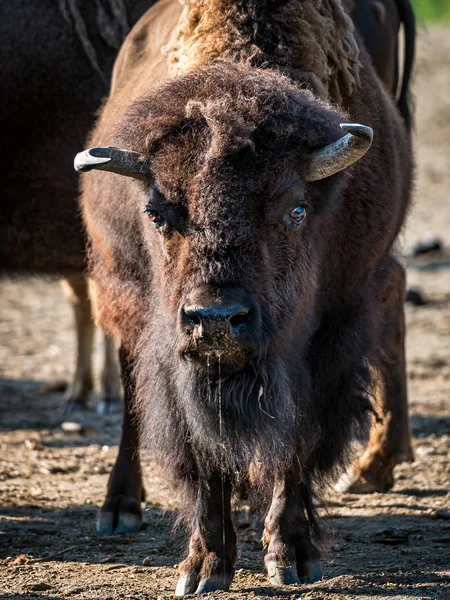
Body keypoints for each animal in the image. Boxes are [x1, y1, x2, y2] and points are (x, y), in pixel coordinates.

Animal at [75, 0, 414, 592]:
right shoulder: (180, 361)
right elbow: (202, 450)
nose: (215, 319)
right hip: (124, 299)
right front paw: (205, 567)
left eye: (295, 208)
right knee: (130, 393)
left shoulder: (324, 338)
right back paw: (119, 508)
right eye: (156, 213)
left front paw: (292, 553)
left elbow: (296, 438)